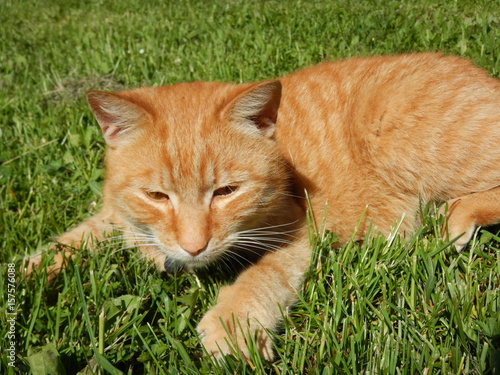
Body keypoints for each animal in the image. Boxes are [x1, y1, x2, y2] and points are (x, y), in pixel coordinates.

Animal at [26, 53, 500, 362]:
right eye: (157, 196)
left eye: (226, 191)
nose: (194, 247)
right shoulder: (114, 217)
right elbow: (69, 241)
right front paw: (28, 275)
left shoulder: (297, 231)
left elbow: (262, 275)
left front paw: (232, 324)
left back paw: (456, 218)